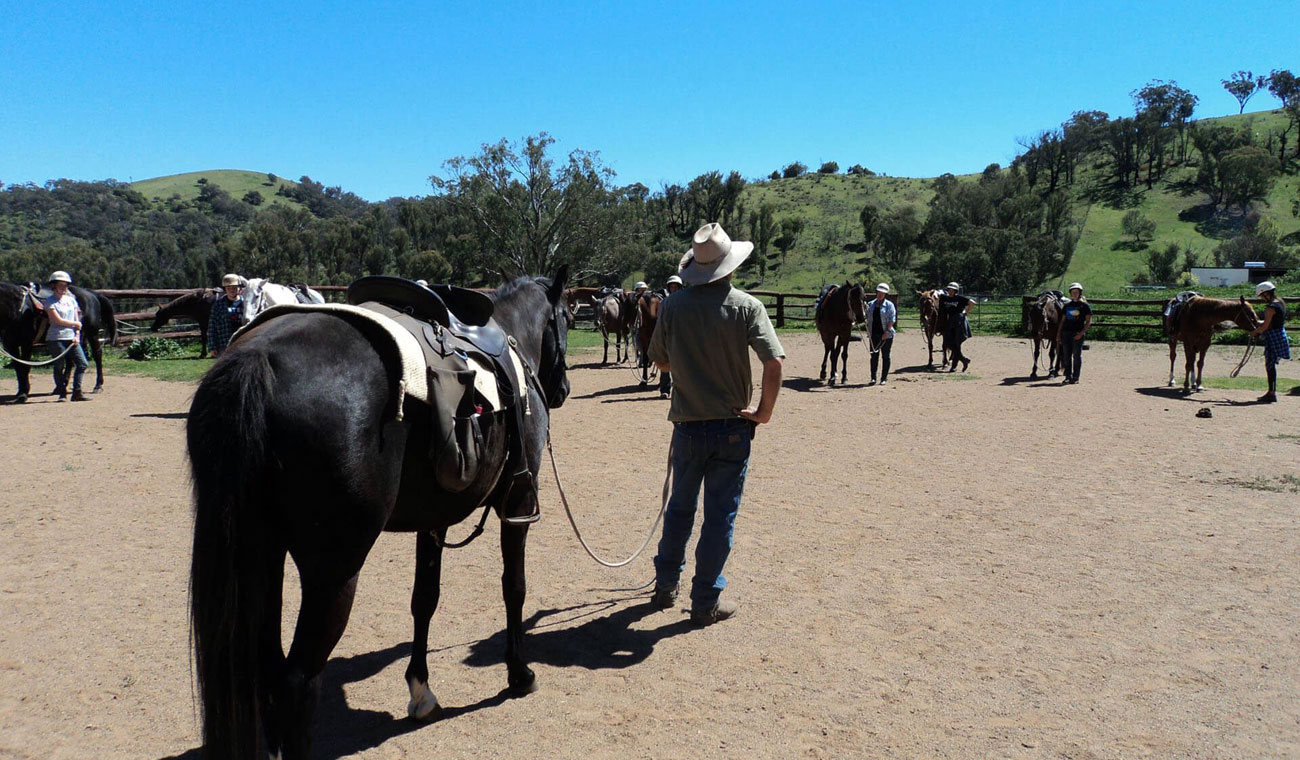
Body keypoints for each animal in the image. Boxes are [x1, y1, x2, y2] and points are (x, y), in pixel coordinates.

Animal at [187, 266, 569, 753]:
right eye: (567, 316)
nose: (562, 390)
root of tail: (257, 360)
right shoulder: (517, 503)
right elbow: (513, 587)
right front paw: (519, 673)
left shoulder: (434, 521)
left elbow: (424, 599)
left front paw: (421, 691)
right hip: (333, 571)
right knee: (296, 681)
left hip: (260, 554)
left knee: (266, 667)